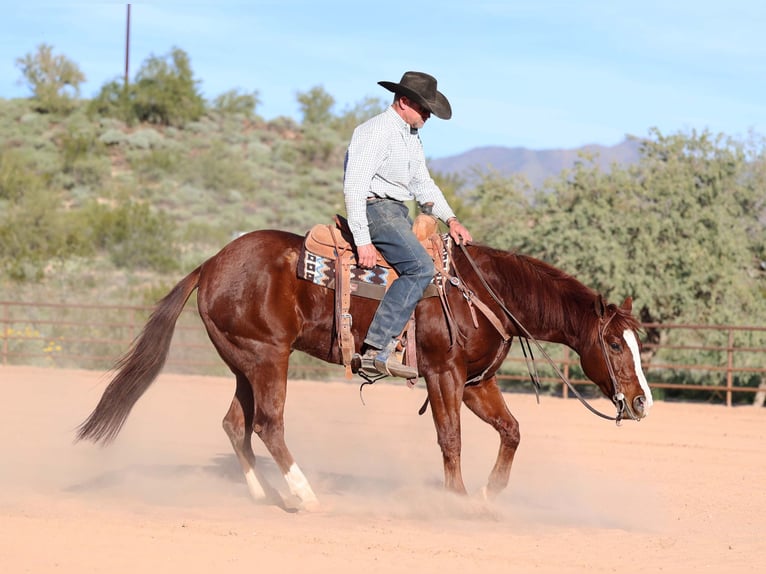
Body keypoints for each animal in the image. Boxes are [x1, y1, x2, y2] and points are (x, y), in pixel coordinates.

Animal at [76, 228, 653, 511]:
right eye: (615, 345)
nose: (642, 402)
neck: (482, 292)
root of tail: (212, 263)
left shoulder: (476, 382)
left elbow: (511, 430)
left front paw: (492, 494)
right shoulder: (443, 375)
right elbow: (450, 440)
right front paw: (458, 501)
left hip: (244, 362)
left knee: (236, 425)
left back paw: (264, 495)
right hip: (267, 357)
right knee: (268, 425)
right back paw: (305, 496)